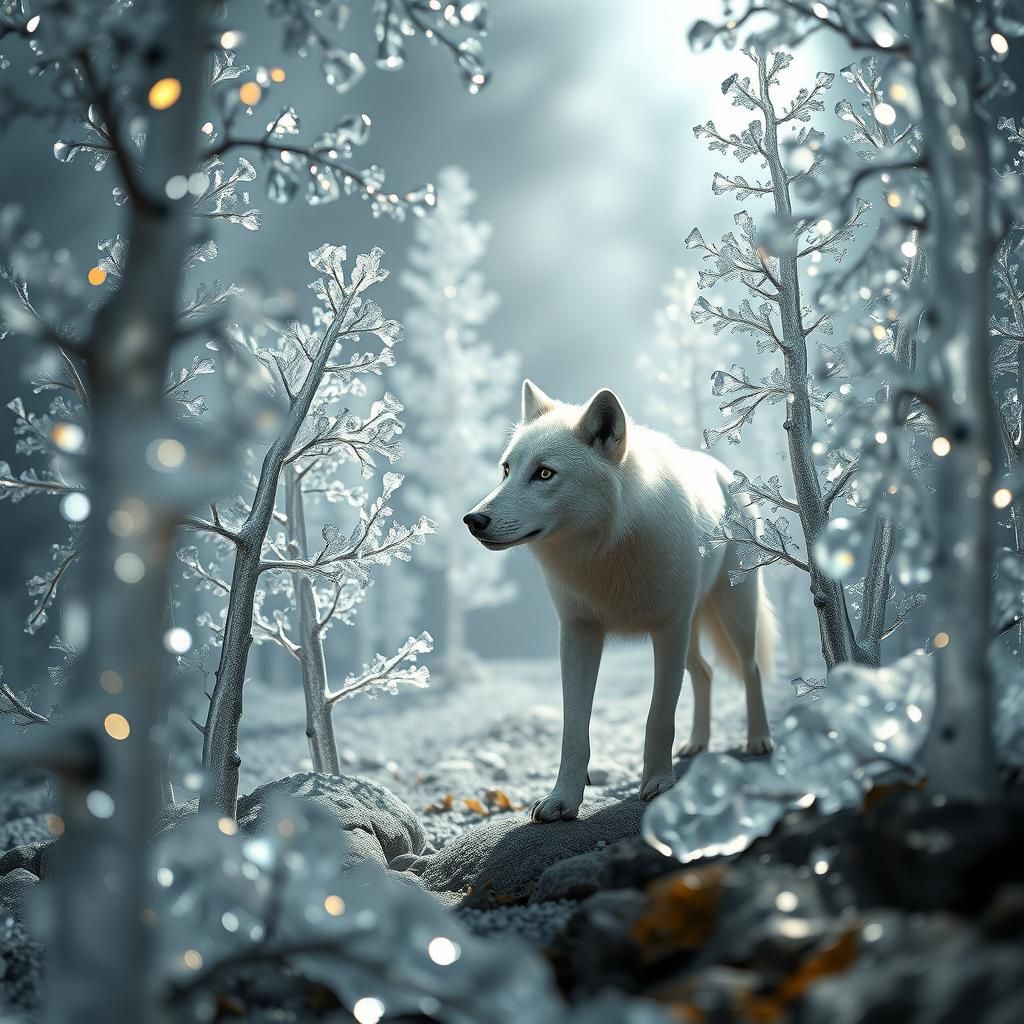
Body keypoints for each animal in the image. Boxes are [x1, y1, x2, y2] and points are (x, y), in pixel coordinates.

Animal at [463, 380, 776, 823]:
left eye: (544, 473)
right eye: (507, 470)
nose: (473, 520)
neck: (606, 549)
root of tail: (723, 472)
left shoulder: (668, 629)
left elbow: (659, 716)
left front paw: (658, 784)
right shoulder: (578, 635)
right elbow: (574, 727)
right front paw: (563, 799)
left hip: (733, 616)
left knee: (751, 670)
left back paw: (759, 739)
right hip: (692, 632)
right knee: (705, 673)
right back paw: (697, 744)